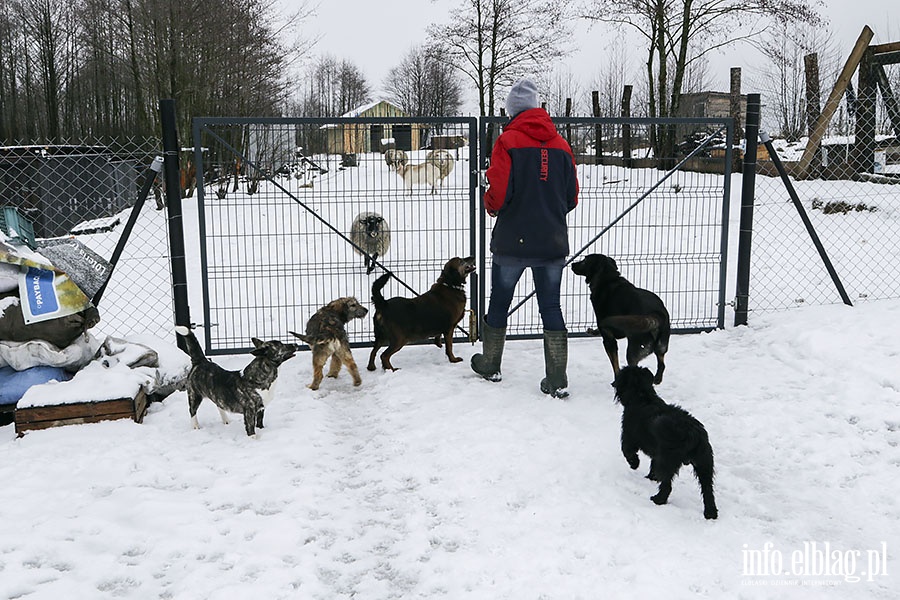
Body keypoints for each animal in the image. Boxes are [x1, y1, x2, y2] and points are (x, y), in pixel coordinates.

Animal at [568, 254, 668, 384]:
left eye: (584, 261)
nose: (572, 264)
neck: (607, 279)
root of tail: (656, 314)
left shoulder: (608, 339)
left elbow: (615, 364)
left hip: (634, 350)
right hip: (661, 346)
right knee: (662, 364)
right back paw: (657, 379)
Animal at [612, 366, 716, 520]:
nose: (613, 384)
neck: (642, 396)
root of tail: (693, 433)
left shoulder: (628, 437)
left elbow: (628, 452)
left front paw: (634, 464)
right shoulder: (657, 453)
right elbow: (652, 466)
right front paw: (650, 477)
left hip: (668, 462)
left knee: (667, 486)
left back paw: (658, 499)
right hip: (704, 464)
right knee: (708, 490)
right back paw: (711, 513)